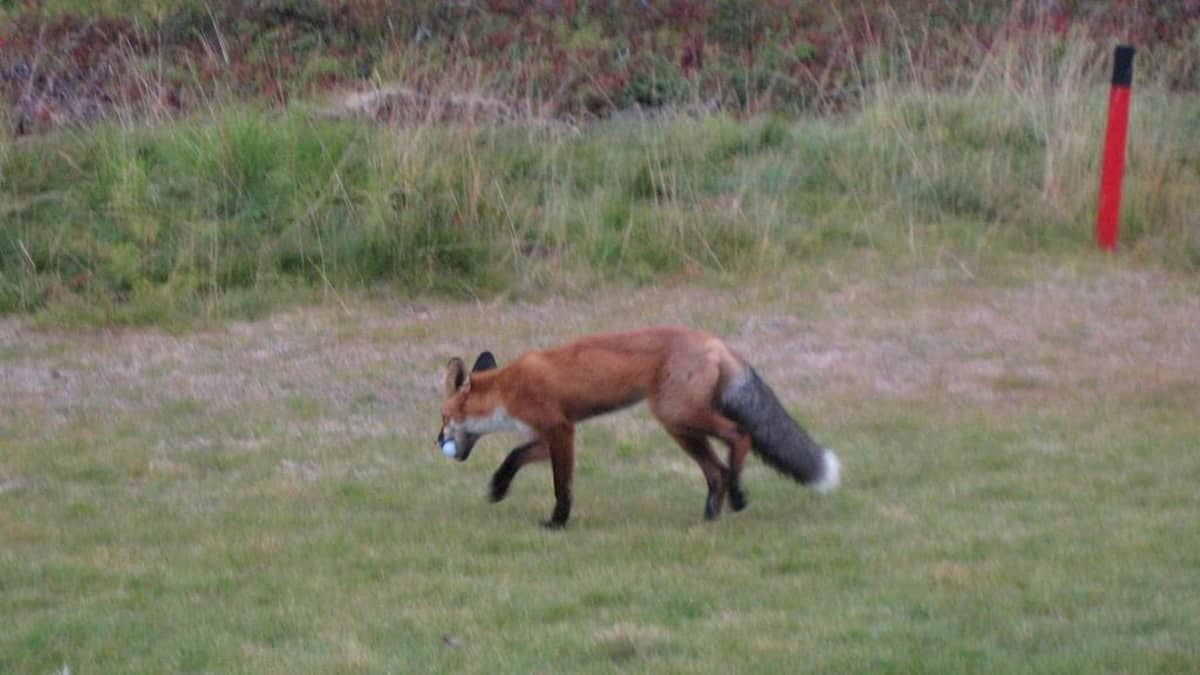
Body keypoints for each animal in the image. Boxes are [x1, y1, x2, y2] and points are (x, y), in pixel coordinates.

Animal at [436, 324, 840, 526]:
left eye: (443, 417)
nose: (437, 440)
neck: (508, 389)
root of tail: (717, 342)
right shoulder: (546, 434)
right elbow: (514, 456)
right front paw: (498, 487)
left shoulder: (562, 430)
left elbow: (562, 486)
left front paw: (557, 522)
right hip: (680, 427)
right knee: (717, 471)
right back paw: (710, 517)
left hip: (678, 414)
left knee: (740, 437)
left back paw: (739, 496)